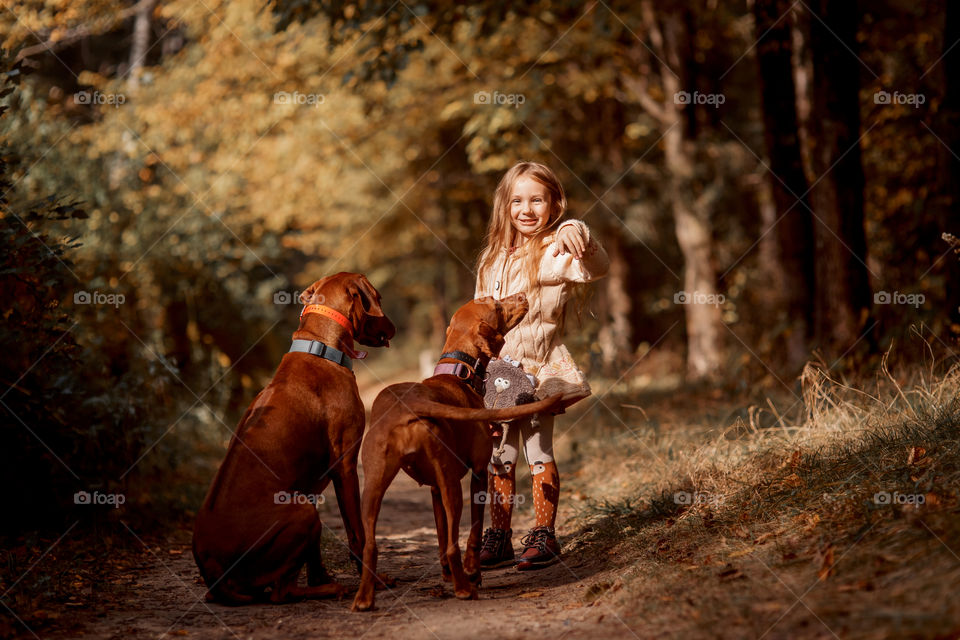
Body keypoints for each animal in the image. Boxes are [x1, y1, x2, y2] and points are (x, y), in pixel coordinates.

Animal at [193, 272, 396, 604]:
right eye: (378, 297)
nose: (393, 328)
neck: (321, 347)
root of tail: (212, 571)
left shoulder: (311, 484)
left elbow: (315, 555)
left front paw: (321, 577)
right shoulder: (345, 467)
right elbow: (357, 533)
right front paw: (373, 580)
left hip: (304, 506)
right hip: (301, 512)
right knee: (280, 592)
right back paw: (331, 589)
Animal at [352, 292, 564, 612]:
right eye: (497, 305)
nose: (522, 296)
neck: (457, 374)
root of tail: (410, 405)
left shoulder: (434, 490)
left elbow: (441, 539)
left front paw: (446, 574)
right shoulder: (477, 474)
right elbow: (472, 532)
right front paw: (472, 572)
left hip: (374, 486)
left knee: (371, 545)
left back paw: (364, 598)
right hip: (452, 486)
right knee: (455, 544)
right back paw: (465, 588)